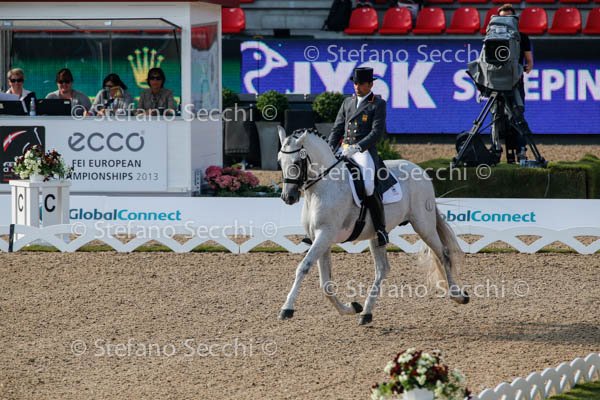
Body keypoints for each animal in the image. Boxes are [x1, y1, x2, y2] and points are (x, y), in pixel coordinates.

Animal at [276, 127, 469, 325]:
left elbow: (304, 267)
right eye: (279, 161)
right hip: (377, 234)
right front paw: (351, 307)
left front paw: (287, 309)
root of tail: (419, 170)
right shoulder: (321, 239)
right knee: (382, 269)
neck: (324, 186)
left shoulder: (325, 235)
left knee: (443, 254)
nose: (288, 197)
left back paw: (458, 296)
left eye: (297, 161)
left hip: (424, 225)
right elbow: (326, 284)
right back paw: (366, 312)